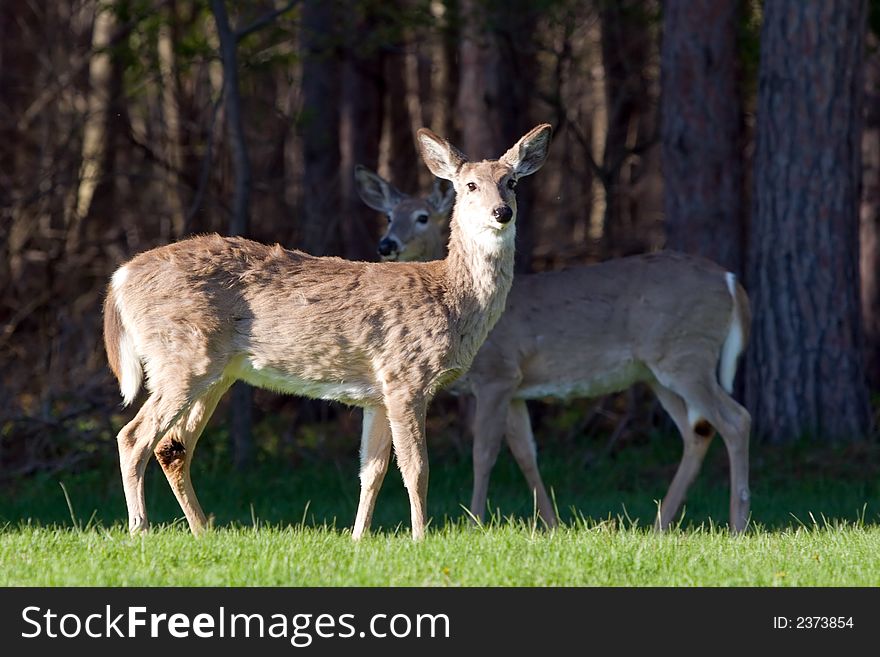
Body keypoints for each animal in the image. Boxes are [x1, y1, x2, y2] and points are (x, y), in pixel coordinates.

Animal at [103, 121, 552, 540]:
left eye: (511, 182)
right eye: (470, 185)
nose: (502, 212)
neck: (451, 298)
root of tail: (120, 279)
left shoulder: (377, 393)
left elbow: (372, 470)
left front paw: (358, 538)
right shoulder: (406, 377)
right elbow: (416, 467)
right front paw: (420, 538)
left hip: (215, 371)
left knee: (173, 446)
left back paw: (203, 532)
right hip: (182, 357)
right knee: (133, 436)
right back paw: (140, 529)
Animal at [354, 167, 752, 532]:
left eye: (422, 217)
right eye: (389, 216)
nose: (386, 244)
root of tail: (730, 280)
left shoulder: (498, 373)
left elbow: (483, 452)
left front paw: (475, 522)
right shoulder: (517, 388)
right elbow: (526, 453)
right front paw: (551, 524)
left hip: (686, 355)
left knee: (735, 419)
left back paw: (737, 524)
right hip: (658, 371)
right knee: (696, 432)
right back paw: (661, 524)